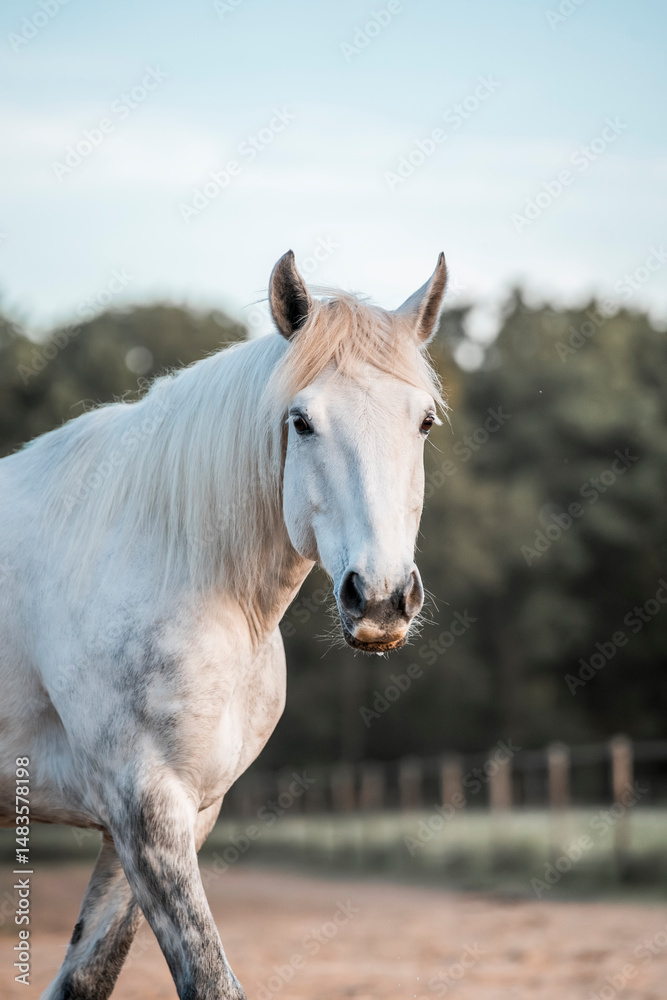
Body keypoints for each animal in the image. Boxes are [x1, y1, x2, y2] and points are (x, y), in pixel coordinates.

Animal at [0, 249, 447, 999]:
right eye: (301, 422)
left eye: (423, 424)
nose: (381, 599)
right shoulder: (146, 808)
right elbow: (210, 980)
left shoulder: (167, 818)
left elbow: (88, 977)